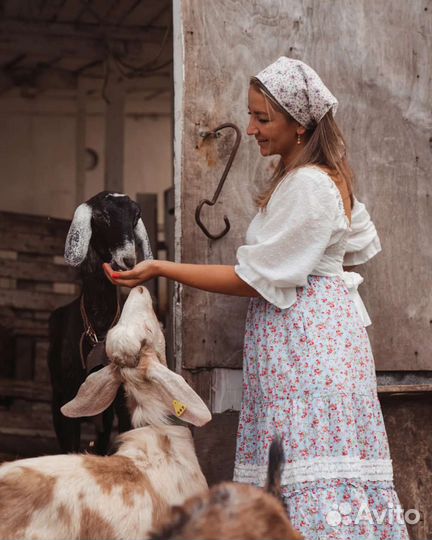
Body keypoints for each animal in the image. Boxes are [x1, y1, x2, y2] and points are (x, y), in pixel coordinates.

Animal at [46, 192, 152, 454]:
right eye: (102, 215)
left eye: (136, 215)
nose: (128, 260)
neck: (99, 325)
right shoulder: (65, 402)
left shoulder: (121, 404)